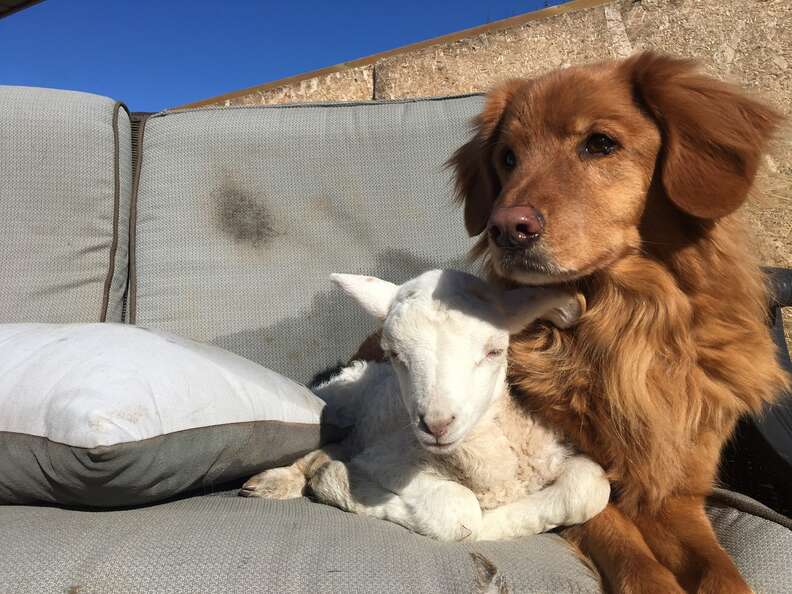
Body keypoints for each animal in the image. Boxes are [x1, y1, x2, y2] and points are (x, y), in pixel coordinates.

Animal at [244, 270, 608, 540]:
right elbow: (460, 513)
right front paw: (334, 479)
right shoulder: (386, 459)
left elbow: (592, 486)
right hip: (337, 402)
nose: (436, 424)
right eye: (394, 353)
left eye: (494, 351)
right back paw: (279, 479)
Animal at [442, 53, 788, 588]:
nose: (505, 228)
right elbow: (634, 559)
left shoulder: (675, 491)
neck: (627, 322)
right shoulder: (572, 474)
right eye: (508, 158)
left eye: (600, 143)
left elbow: (721, 572)